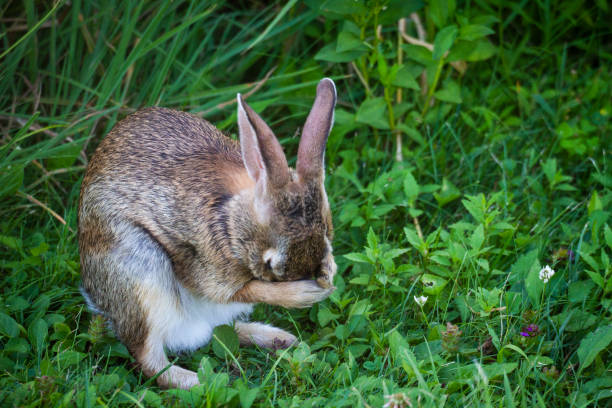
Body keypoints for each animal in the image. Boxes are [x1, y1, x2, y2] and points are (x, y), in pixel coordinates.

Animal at [78, 79, 338, 388]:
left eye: (328, 230)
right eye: (269, 262)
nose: (314, 275)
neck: (231, 220)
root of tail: (98, 301)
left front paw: (328, 272)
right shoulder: (206, 267)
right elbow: (249, 290)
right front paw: (307, 293)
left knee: (219, 330)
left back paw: (279, 340)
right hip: (139, 272)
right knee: (150, 360)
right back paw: (202, 382)